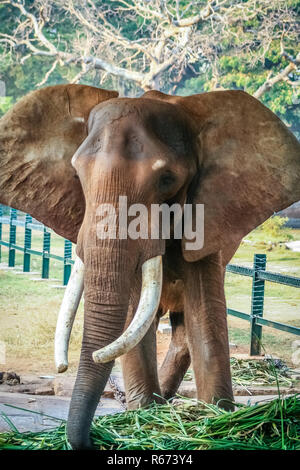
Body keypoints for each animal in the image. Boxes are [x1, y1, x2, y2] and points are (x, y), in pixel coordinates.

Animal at [0, 83, 298, 448]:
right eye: (77, 173)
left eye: (167, 179)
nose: (92, 439)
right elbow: (133, 312)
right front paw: (144, 414)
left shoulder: (208, 216)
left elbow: (205, 311)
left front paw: (217, 417)